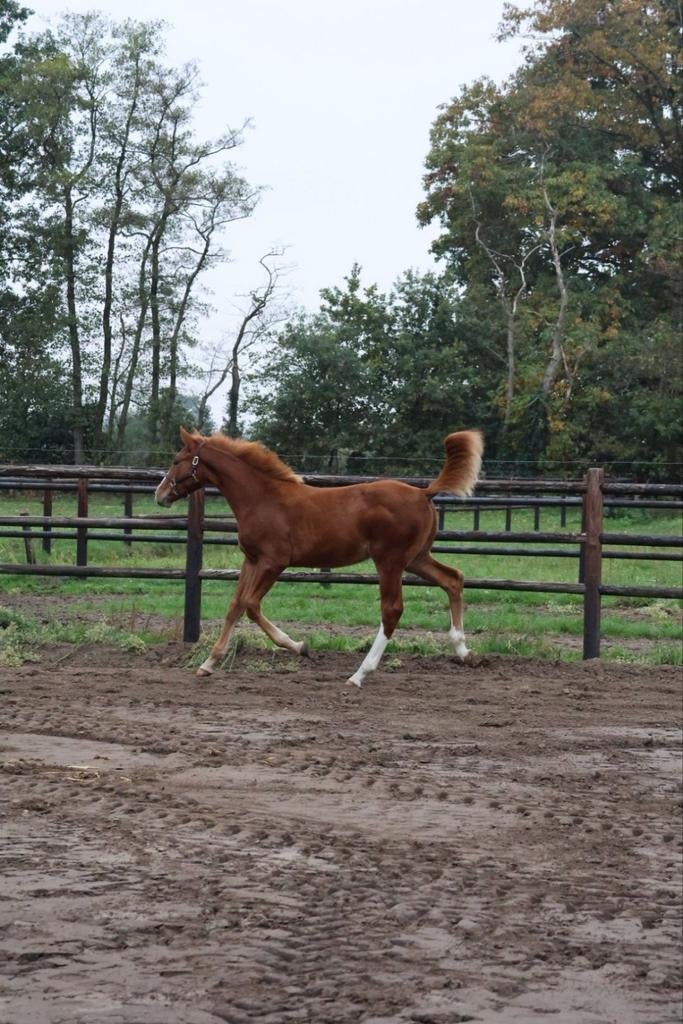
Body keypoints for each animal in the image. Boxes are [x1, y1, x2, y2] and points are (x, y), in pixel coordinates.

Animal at [156, 426, 483, 686]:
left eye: (175, 461)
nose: (159, 495)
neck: (262, 498)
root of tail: (424, 492)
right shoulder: (251, 560)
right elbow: (234, 606)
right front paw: (208, 663)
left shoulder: (274, 562)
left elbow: (250, 605)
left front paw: (299, 646)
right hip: (416, 558)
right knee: (453, 579)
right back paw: (465, 652)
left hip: (389, 561)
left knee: (392, 610)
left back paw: (359, 674)